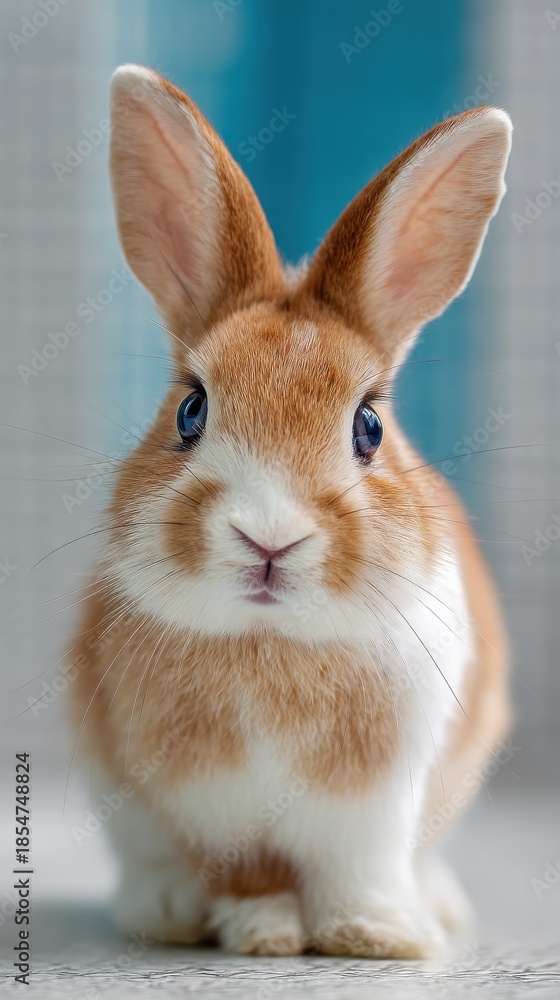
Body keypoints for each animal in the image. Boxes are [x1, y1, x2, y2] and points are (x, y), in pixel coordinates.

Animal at [71, 64, 512, 959]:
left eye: (368, 426)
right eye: (192, 411)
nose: (269, 538)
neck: (270, 641)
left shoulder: (371, 809)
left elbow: (357, 871)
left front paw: (374, 936)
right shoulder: (211, 807)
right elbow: (250, 876)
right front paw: (265, 934)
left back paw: (434, 906)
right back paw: (163, 911)